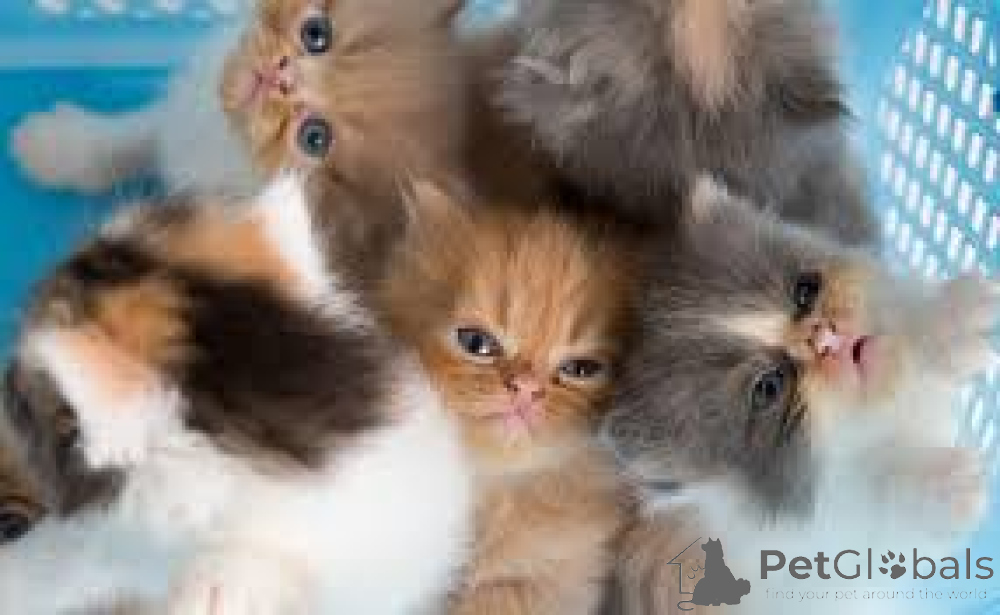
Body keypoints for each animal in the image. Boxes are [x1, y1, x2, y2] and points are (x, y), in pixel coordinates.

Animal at [601, 178, 998, 614]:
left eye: (805, 292)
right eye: (768, 388)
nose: (824, 338)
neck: (868, 417)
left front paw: (958, 315)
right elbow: (881, 495)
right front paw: (949, 485)